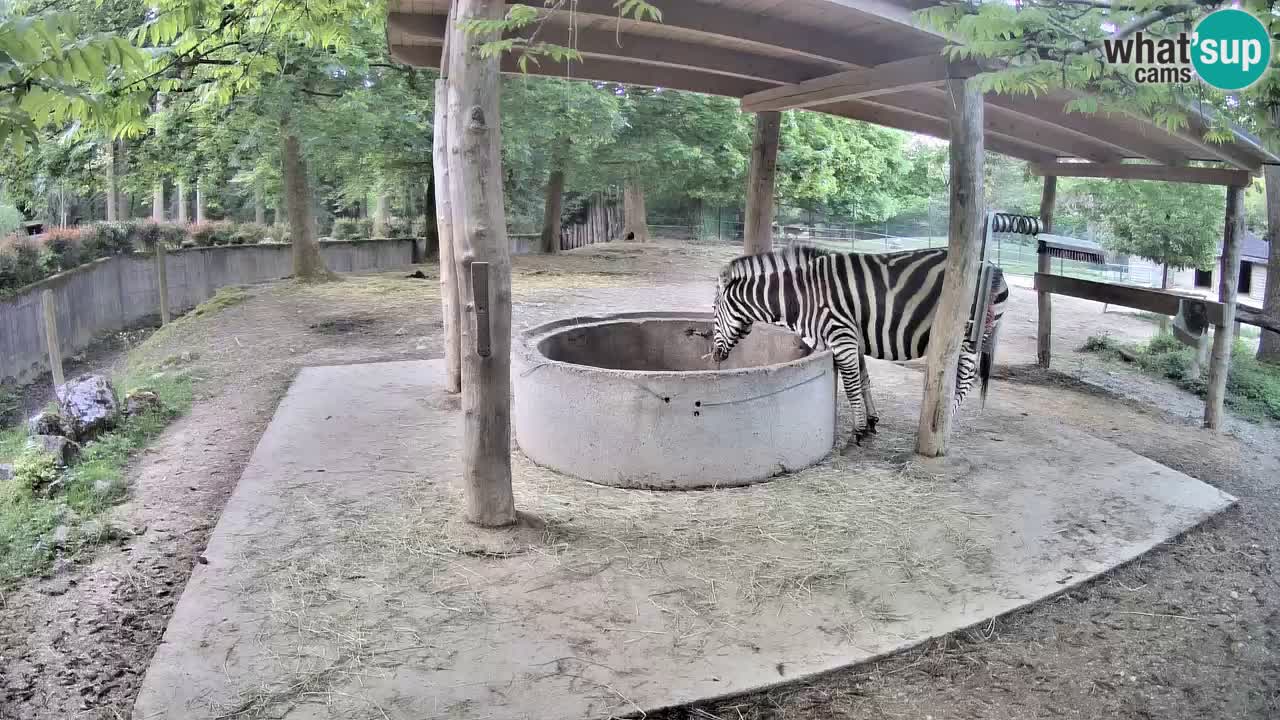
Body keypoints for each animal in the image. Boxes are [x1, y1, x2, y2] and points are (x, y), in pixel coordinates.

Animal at [711, 246, 1008, 444]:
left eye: (714, 309)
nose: (714, 356)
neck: (800, 296)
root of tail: (993, 267)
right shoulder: (854, 339)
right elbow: (863, 380)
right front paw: (871, 421)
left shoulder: (841, 335)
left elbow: (852, 385)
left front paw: (858, 431)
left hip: (967, 336)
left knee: (965, 382)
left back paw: (943, 424)